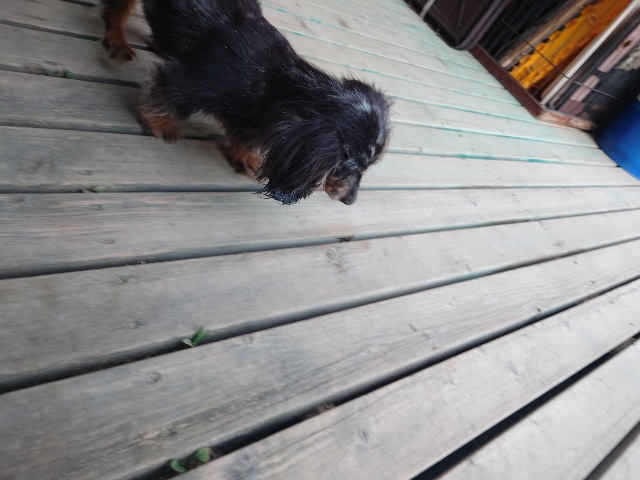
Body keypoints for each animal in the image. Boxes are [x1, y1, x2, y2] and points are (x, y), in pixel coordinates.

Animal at [100, 0, 391, 204]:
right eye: (347, 168)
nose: (350, 201)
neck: (278, 84)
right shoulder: (190, 82)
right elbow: (165, 96)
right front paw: (160, 123)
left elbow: (245, 136)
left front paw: (244, 156)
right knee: (116, 10)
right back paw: (117, 40)